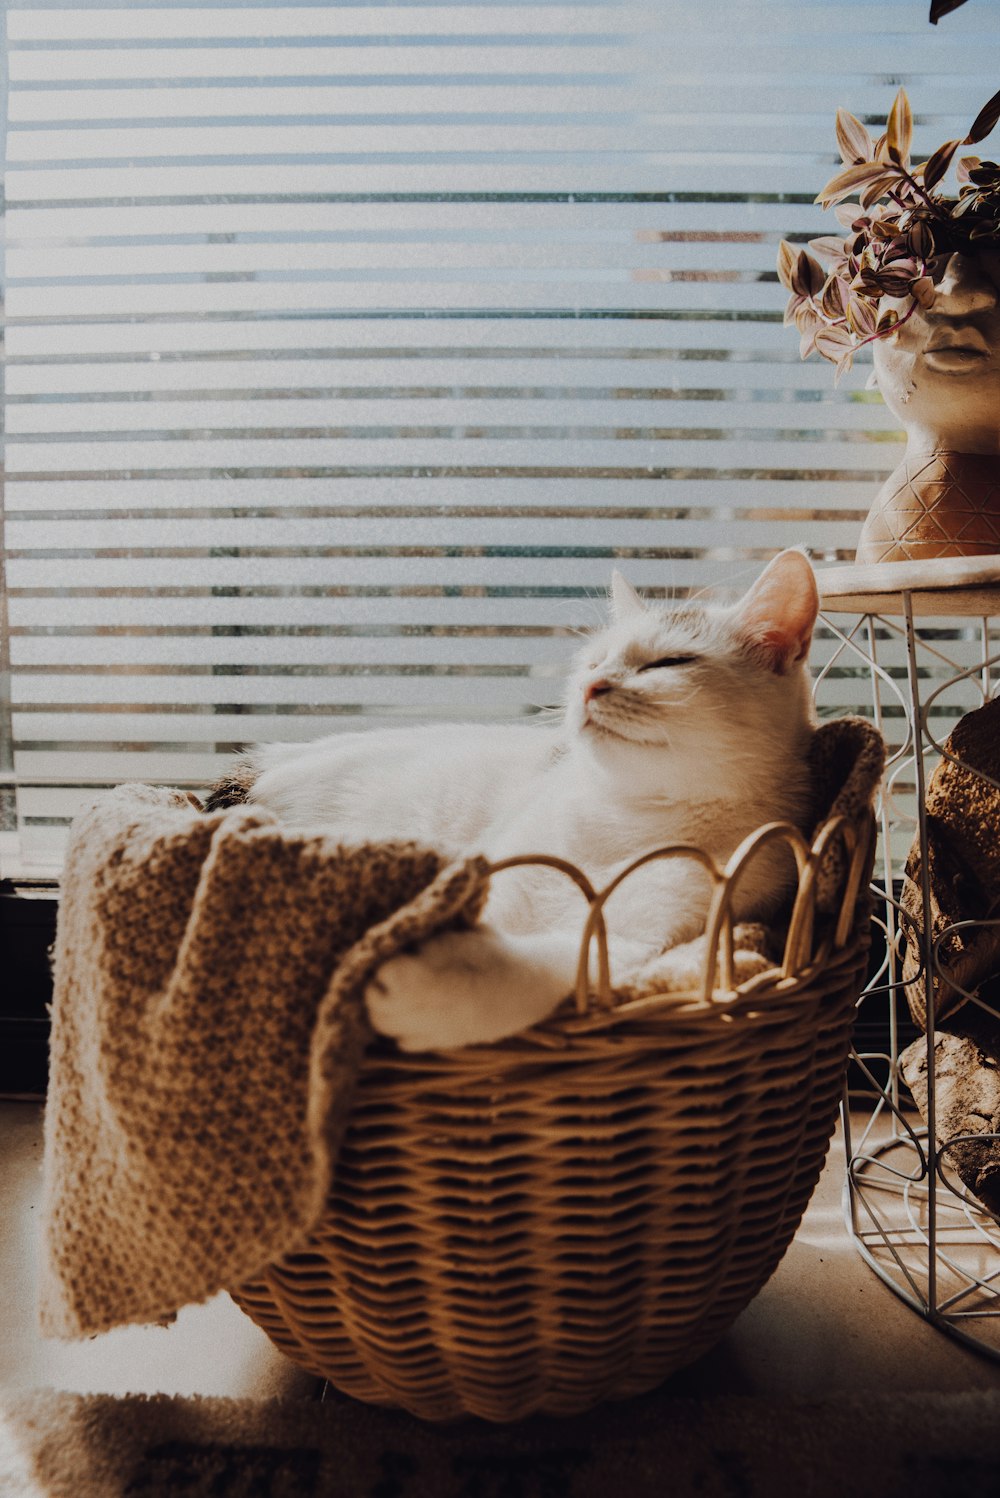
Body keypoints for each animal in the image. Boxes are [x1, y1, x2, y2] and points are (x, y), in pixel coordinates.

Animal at [226, 551, 820, 1054]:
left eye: (668, 662)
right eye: (593, 661)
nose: (590, 687)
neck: (633, 817)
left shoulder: (651, 931)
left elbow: (568, 963)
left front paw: (434, 992)